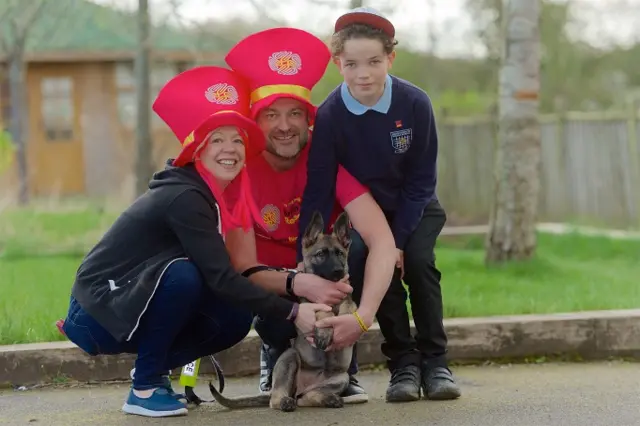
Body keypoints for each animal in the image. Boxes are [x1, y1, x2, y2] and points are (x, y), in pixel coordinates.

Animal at [209, 211, 356, 412]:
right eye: (320, 255)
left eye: (340, 253)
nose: (338, 270)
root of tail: (302, 386)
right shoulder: (310, 302)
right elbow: (324, 312)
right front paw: (325, 331)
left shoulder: (348, 299)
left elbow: (349, 307)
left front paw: (345, 324)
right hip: (290, 357)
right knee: (278, 398)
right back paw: (286, 401)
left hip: (342, 378)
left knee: (305, 397)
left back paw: (329, 398)